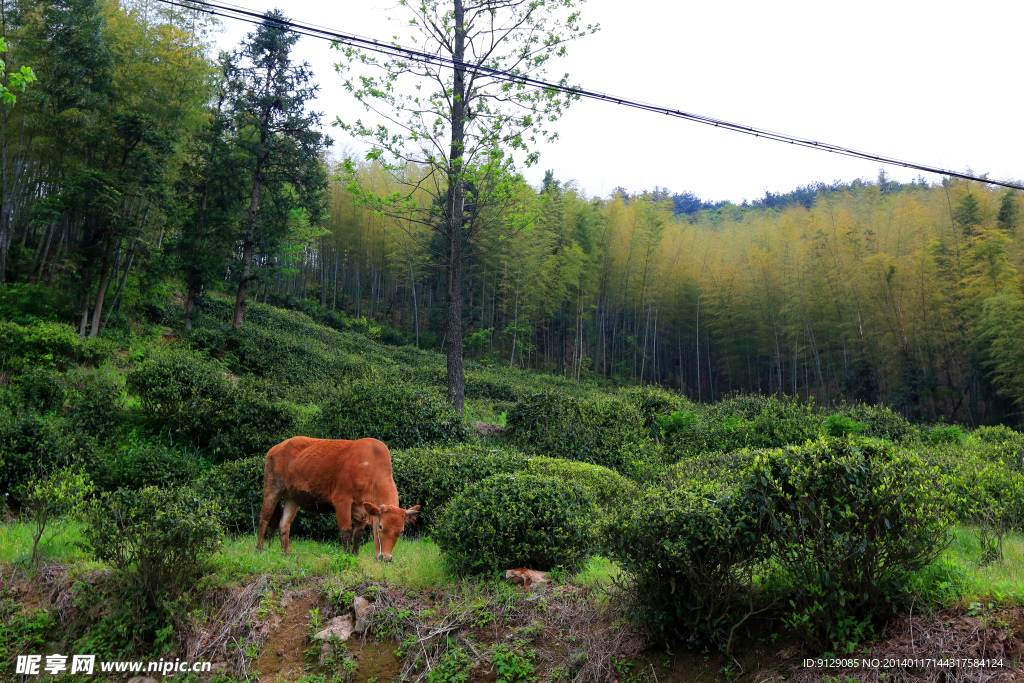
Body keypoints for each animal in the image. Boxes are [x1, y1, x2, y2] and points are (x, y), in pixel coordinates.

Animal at [258, 438, 417, 561]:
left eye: (401, 530)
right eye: (380, 526)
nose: (386, 557)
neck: (371, 470)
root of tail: (276, 447)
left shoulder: (363, 510)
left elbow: (357, 534)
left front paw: (355, 555)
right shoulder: (342, 501)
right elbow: (346, 531)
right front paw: (346, 555)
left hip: (292, 498)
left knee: (284, 524)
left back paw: (287, 553)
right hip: (272, 487)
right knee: (264, 517)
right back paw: (259, 548)